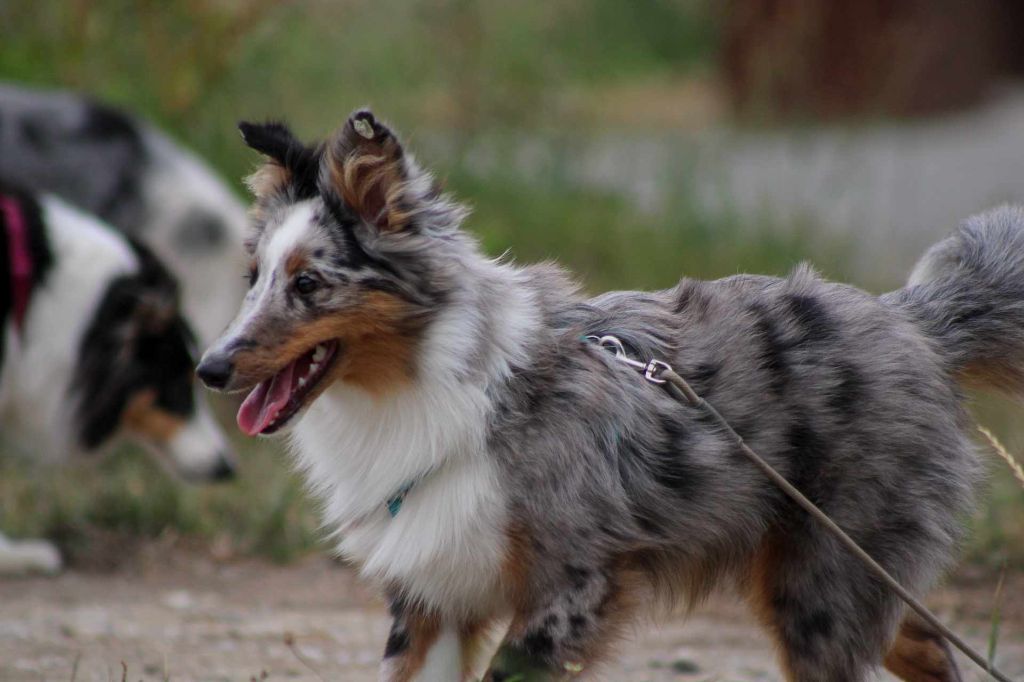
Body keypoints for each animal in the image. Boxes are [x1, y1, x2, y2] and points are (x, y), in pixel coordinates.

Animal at [198, 109, 1021, 681]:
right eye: (253, 278)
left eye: (309, 284)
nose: (207, 368)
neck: (427, 382)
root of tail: (911, 318)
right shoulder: (435, 596)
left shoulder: (572, 587)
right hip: (838, 577)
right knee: (928, 644)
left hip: (819, 592)